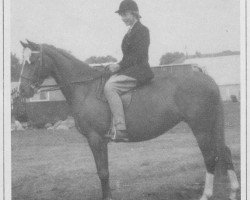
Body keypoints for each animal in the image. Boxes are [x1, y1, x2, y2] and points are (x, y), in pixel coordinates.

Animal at [18, 40, 239, 200]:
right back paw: (234, 191)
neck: (85, 88)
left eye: (33, 61)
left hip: (201, 127)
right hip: (212, 125)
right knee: (225, 152)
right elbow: (103, 171)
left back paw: (206, 195)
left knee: (210, 157)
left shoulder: (96, 139)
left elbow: (103, 172)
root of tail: (206, 78)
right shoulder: (98, 140)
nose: (22, 90)